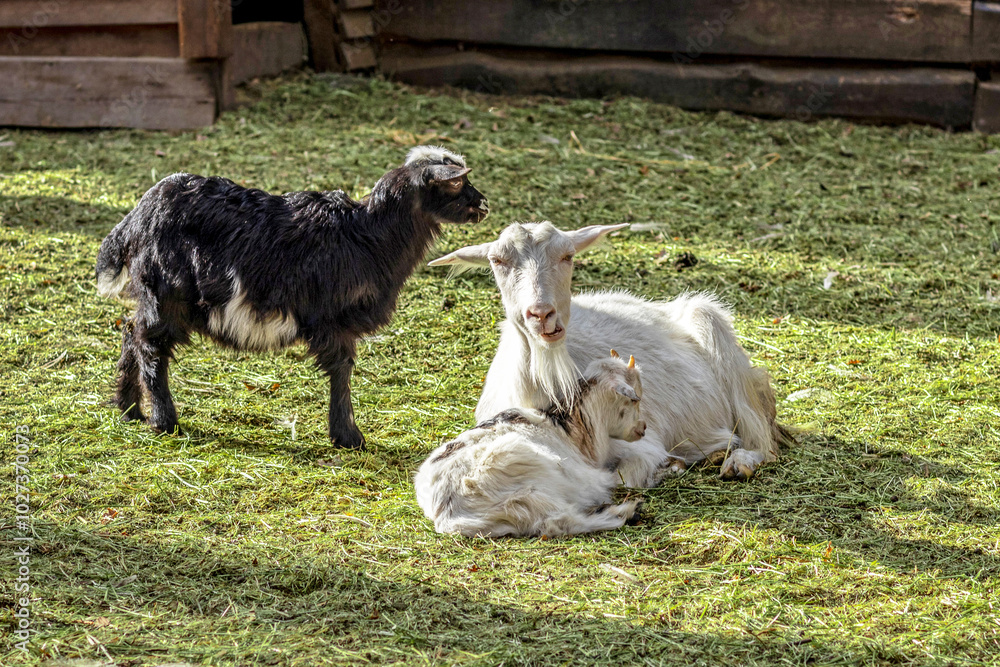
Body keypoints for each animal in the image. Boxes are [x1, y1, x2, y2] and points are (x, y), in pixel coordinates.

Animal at [96, 146, 488, 449]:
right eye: (457, 182)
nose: (484, 204)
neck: (366, 236)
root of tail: (138, 217)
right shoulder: (333, 320)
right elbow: (341, 370)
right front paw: (349, 437)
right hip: (168, 293)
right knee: (151, 346)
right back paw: (164, 421)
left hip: (154, 295)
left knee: (131, 331)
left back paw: (129, 409)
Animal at [414, 352, 647, 537]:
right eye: (634, 400)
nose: (642, 427)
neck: (572, 429)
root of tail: (447, 514)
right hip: (532, 490)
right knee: (558, 523)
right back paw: (625, 512)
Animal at [429, 221, 784, 484]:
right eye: (497, 261)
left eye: (568, 256)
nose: (542, 314)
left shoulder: (638, 440)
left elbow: (623, 475)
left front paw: (670, 466)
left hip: (711, 323)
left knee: (761, 437)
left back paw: (738, 461)